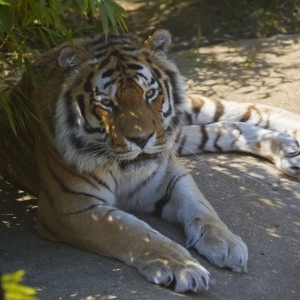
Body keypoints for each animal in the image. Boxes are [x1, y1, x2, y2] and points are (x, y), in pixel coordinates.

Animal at [0, 28, 298, 292]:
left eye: (150, 94)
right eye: (106, 103)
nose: (142, 139)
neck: (121, 168)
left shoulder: (171, 174)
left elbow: (203, 209)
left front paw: (226, 242)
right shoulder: (70, 206)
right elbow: (132, 232)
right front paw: (183, 267)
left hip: (180, 124)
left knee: (242, 109)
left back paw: (291, 136)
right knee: (226, 128)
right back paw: (288, 151)